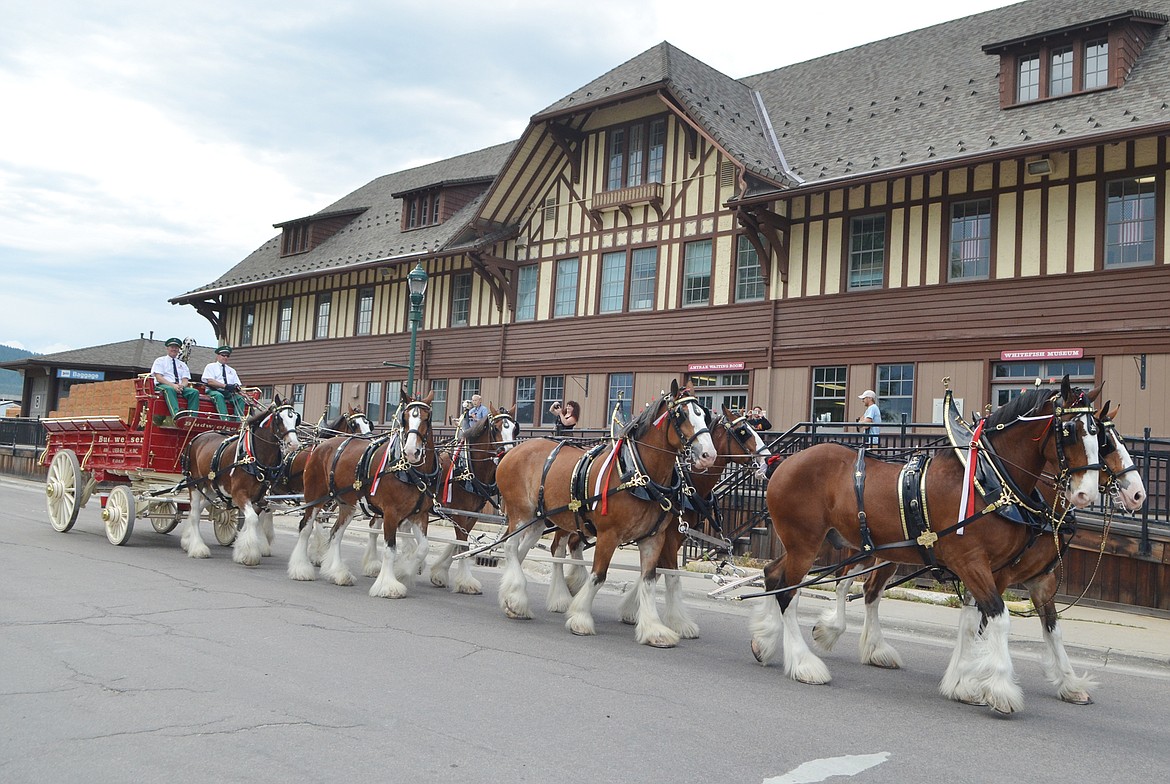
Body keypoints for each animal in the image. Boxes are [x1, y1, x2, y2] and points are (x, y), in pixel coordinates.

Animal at [180, 400, 301, 566]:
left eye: (296, 418)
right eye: (278, 418)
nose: (293, 444)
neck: (254, 458)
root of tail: (198, 437)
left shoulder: (259, 499)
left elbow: (252, 520)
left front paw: (242, 550)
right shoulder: (239, 494)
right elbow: (252, 519)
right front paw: (249, 555)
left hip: (213, 488)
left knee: (197, 509)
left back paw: (187, 540)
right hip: (194, 484)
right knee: (194, 514)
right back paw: (198, 548)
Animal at [491, 381, 711, 650]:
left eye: (704, 414)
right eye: (681, 415)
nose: (708, 454)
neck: (637, 473)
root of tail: (512, 452)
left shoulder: (654, 538)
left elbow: (649, 580)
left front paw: (654, 628)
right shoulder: (609, 535)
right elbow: (598, 576)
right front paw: (580, 618)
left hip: (538, 520)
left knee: (519, 552)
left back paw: (512, 599)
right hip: (520, 513)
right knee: (511, 547)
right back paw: (521, 597)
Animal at [748, 376, 1104, 716]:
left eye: (1099, 434)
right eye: (1070, 432)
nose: (1086, 493)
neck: (988, 480)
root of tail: (784, 462)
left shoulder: (1004, 572)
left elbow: (999, 623)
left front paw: (967, 684)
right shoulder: (972, 563)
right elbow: (998, 620)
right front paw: (1000, 689)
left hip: (812, 545)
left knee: (774, 575)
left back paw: (765, 642)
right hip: (805, 542)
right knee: (789, 593)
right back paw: (804, 663)